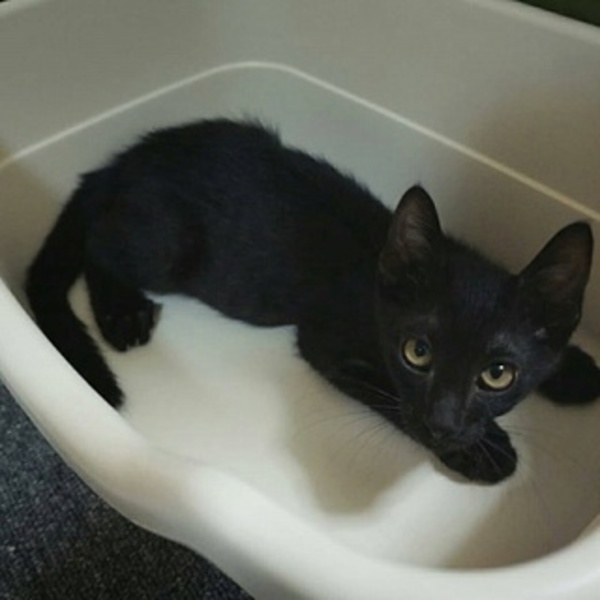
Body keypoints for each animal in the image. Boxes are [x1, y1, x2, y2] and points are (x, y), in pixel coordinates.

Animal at [26, 118, 600, 484]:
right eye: (417, 352)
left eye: (498, 373)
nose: (443, 424)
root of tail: (122, 163)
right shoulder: (328, 343)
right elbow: (392, 398)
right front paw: (485, 452)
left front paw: (573, 370)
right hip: (166, 246)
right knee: (99, 243)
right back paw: (121, 313)